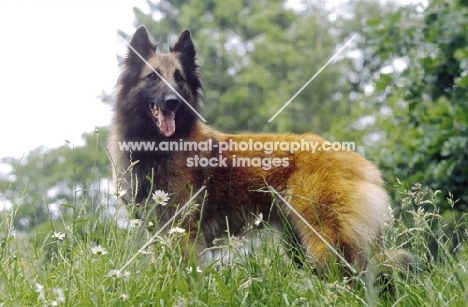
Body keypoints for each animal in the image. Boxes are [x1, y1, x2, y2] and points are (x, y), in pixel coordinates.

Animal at [109, 25, 410, 274]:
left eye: (179, 79)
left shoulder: (182, 230)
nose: (173, 101)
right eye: (152, 77)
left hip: (326, 239)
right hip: (299, 242)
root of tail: (362, 163)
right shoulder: (158, 229)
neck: (160, 145)